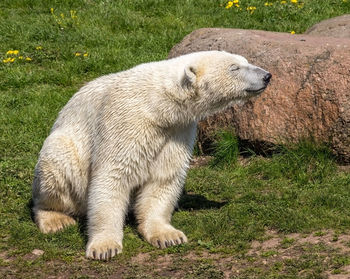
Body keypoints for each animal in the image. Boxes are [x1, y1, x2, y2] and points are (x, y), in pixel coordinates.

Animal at [32, 49, 270, 260]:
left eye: (245, 61)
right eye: (234, 67)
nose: (267, 76)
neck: (157, 104)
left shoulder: (176, 130)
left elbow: (164, 177)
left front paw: (168, 236)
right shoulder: (125, 120)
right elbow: (112, 175)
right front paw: (104, 247)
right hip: (62, 150)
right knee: (58, 165)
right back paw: (55, 219)